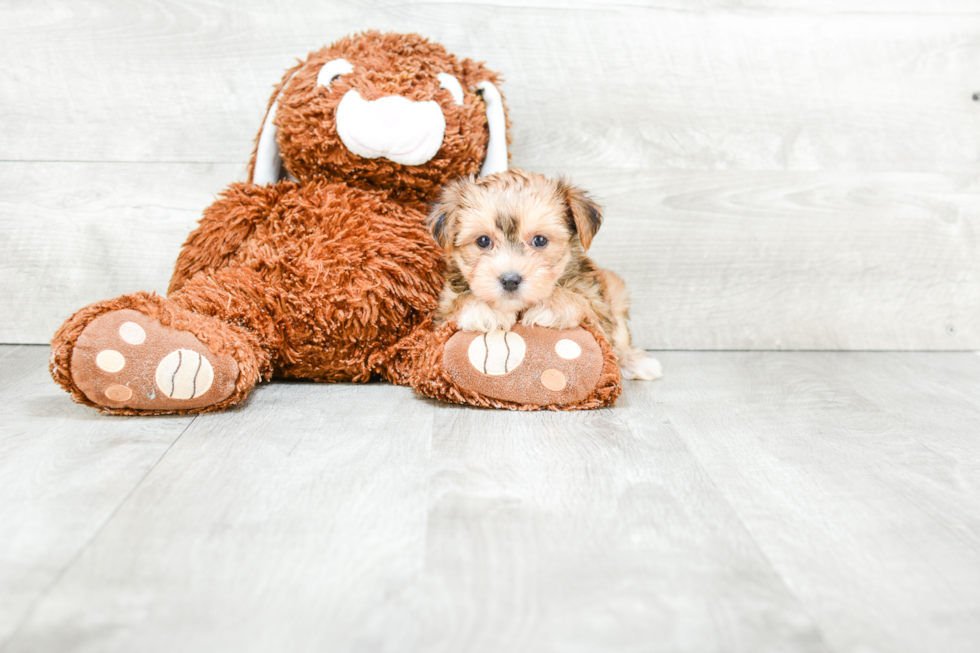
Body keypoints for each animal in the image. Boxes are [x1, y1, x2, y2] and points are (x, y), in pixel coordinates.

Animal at [426, 169, 664, 382]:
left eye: (540, 240)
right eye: (483, 241)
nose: (510, 280)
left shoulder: (597, 305)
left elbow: (582, 302)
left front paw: (551, 305)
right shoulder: (443, 310)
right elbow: (458, 303)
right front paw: (484, 308)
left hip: (615, 290)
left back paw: (634, 360)